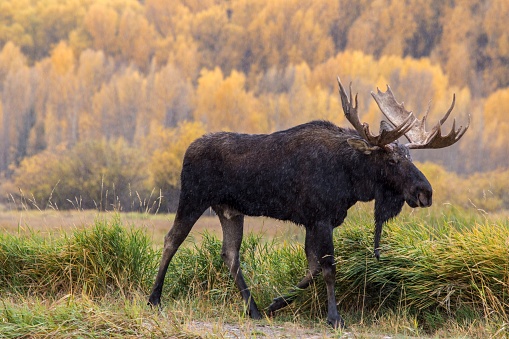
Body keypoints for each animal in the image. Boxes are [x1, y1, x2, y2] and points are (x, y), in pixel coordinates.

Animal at [147, 77, 468, 330]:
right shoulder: (321, 217)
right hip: (193, 197)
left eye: (410, 157)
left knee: (230, 254)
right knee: (172, 239)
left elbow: (312, 268)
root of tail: (187, 149)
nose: (425, 192)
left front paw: (275, 304)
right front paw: (334, 317)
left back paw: (253, 309)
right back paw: (154, 298)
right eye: (391, 161)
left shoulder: (314, 221)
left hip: (230, 211)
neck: (351, 180)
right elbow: (328, 268)